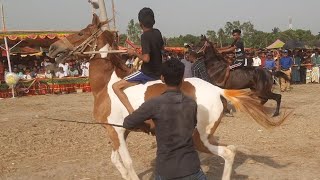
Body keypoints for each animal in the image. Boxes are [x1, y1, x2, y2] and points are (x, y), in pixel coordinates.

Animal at [48, 14, 288, 180]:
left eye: (80, 33)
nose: (52, 48)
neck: (106, 84)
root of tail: (217, 90)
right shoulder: (120, 131)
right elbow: (116, 160)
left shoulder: (114, 130)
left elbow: (126, 162)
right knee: (231, 150)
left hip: (200, 136)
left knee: (228, 152)